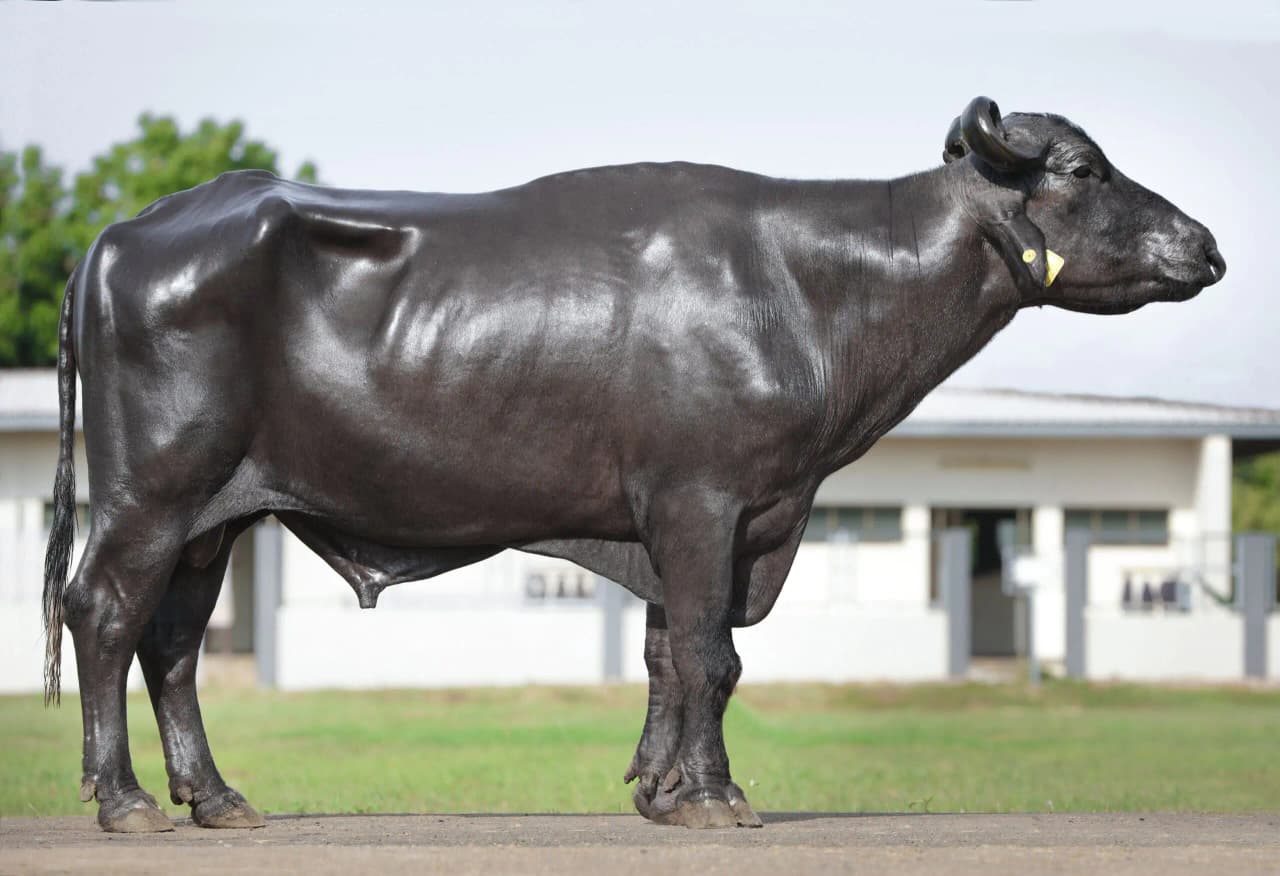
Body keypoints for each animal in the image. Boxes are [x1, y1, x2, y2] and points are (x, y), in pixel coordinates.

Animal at [42, 97, 1224, 832]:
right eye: (1082, 168)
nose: (1207, 246)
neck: (810, 284)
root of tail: (128, 232)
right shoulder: (704, 504)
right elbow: (710, 656)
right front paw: (714, 797)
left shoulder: (689, 523)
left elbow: (667, 657)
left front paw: (658, 789)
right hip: (153, 495)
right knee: (102, 612)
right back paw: (124, 802)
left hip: (213, 520)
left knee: (173, 644)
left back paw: (216, 798)